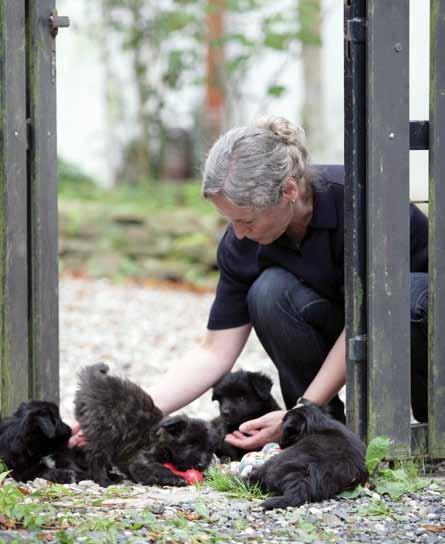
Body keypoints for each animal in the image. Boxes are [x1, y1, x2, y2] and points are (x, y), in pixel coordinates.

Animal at [75, 364, 219, 486]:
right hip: (106, 433)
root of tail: (93, 380)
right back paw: (104, 480)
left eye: (209, 449)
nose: (201, 465)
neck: (162, 440)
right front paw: (174, 478)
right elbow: (157, 468)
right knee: (96, 458)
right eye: (190, 445)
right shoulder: (142, 458)